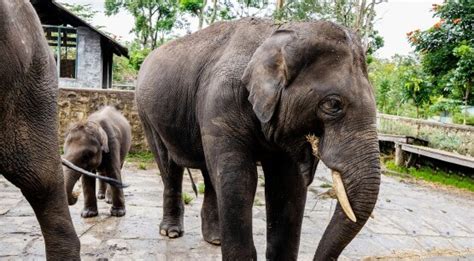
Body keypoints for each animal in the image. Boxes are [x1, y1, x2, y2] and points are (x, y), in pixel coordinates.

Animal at [135, 17, 380, 258]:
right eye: (333, 104)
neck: (279, 33)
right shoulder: (222, 101)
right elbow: (239, 178)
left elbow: (287, 185)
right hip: (146, 112)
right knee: (169, 164)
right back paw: (171, 232)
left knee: (210, 172)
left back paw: (215, 239)